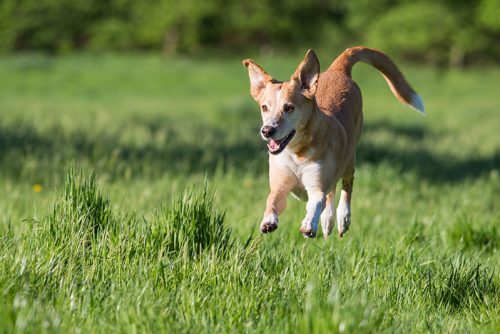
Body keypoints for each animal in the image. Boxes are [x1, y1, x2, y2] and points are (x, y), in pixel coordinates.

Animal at [244, 47, 424, 240]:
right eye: (264, 107)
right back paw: (327, 220)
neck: (296, 153)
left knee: (346, 185)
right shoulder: (281, 184)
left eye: (289, 108)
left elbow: (315, 203)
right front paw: (268, 221)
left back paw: (341, 217)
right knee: (332, 190)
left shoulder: (317, 185)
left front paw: (309, 224)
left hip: (349, 157)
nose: (267, 131)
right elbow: (272, 200)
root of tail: (338, 70)